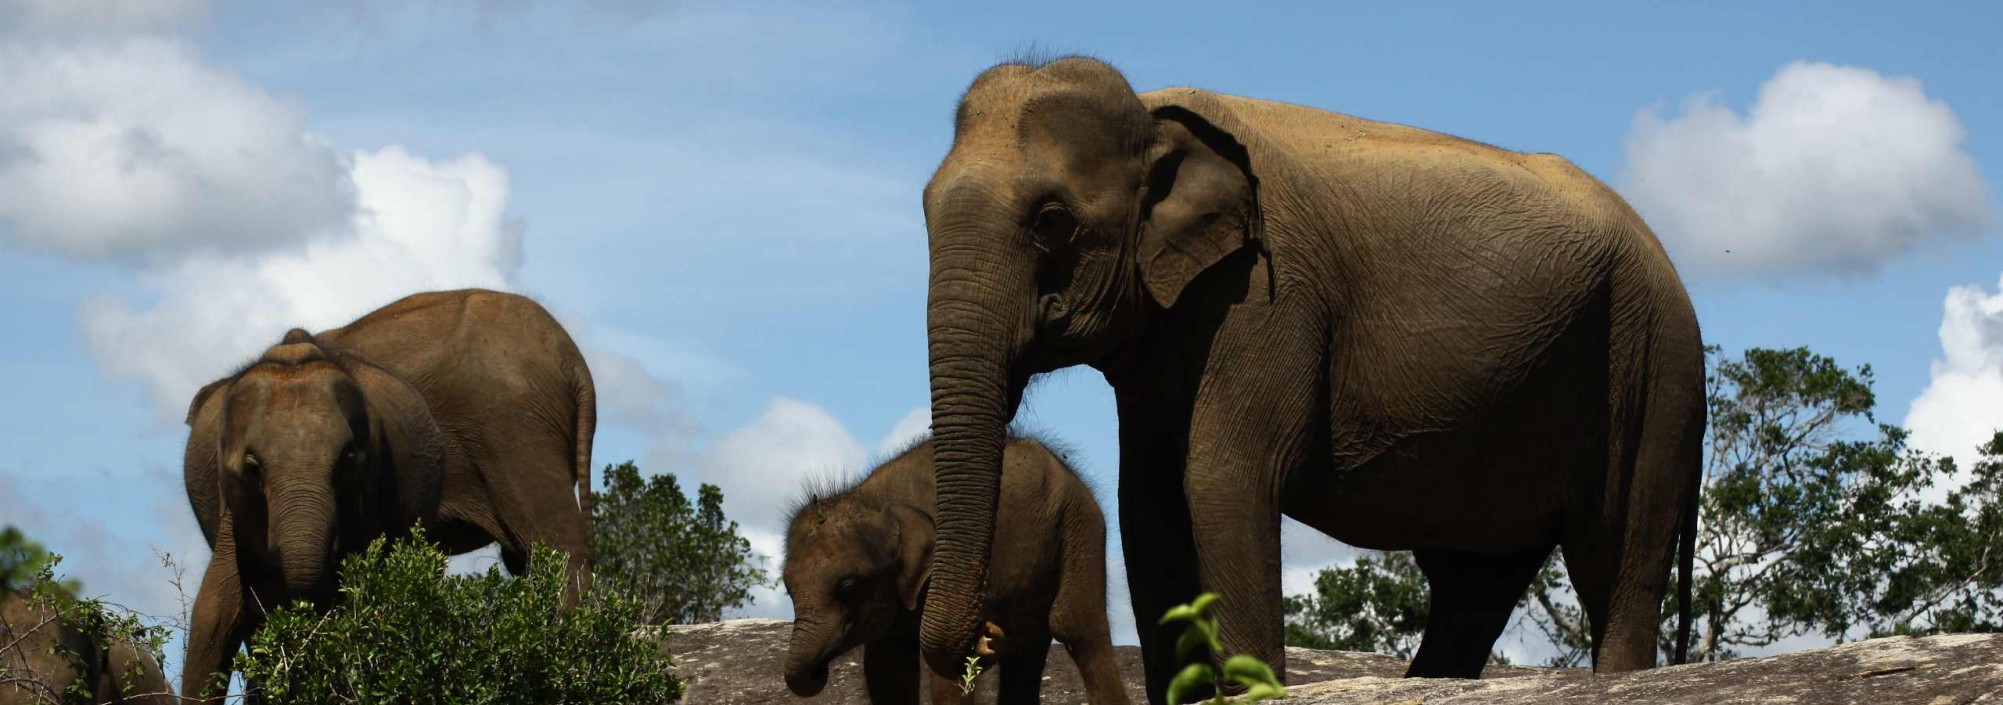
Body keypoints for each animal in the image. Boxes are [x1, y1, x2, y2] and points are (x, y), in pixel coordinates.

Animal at [178, 289, 597, 701]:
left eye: (348, 459)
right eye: (251, 467)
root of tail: (573, 361)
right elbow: (221, 612)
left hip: (515, 433)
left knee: (557, 549)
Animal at [783, 436, 1129, 705]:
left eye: (848, 587)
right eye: (788, 590)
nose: (988, 633)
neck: (876, 500)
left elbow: (940, 669)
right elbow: (886, 669)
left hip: (1080, 528)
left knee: (1078, 628)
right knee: (1027, 651)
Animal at [917, 57, 1703, 700]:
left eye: (1050, 218)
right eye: (923, 208)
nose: (987, 635)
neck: (1151, 113)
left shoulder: (1269, 297)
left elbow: (1222, 480)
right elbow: (1149, 505)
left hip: (1652, 363)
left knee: (1618, 567)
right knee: (1472, 586)